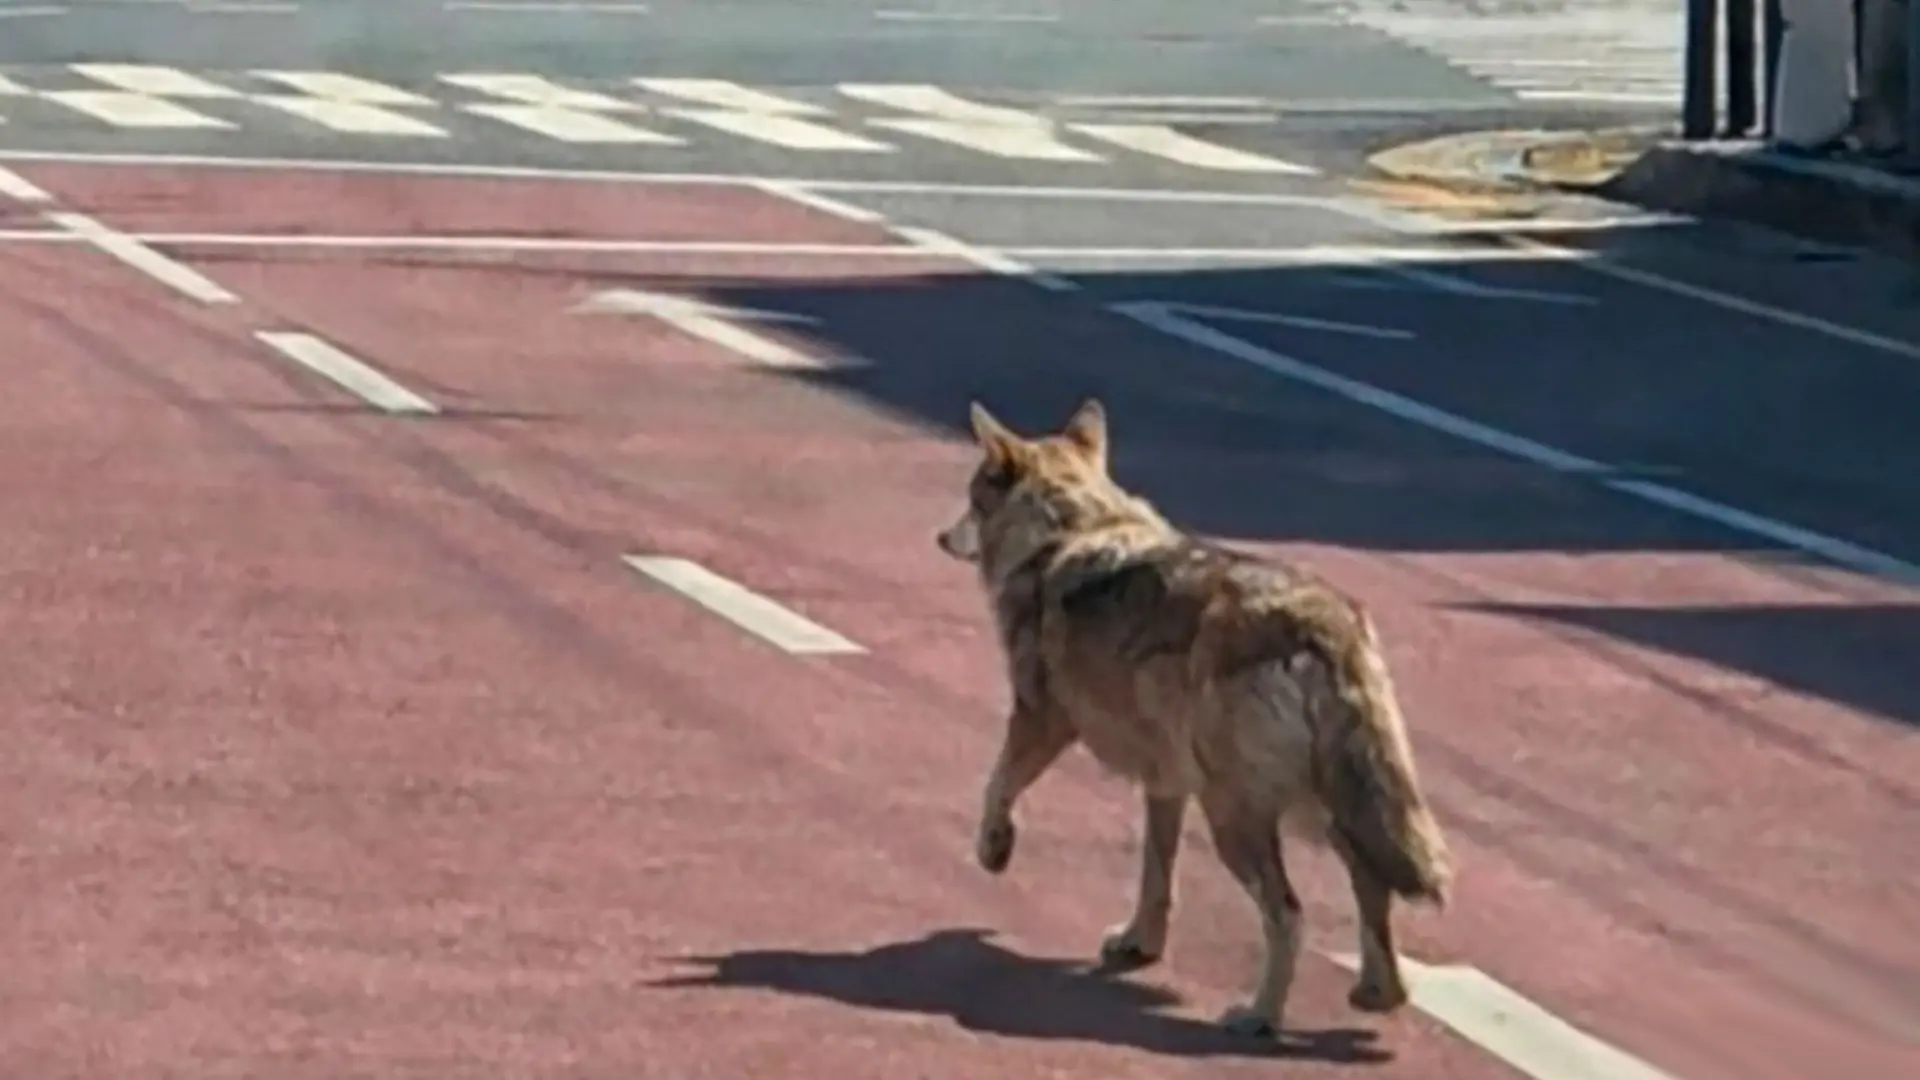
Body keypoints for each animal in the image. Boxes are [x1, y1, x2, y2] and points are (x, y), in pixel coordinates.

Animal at [934, 398, 1453, 1037]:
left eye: (971, 497)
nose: (940, 537)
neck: (1070, 530)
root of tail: (1325, 626)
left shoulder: (1041, 720)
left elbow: (997, 786)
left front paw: (994, 849)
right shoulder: (1165, 784)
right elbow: (1157, 876)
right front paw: (1140, 944)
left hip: (1236, 818)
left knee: (1289, 916)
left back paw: (1259, 1017)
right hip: (1330, 810)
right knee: (1373, 888)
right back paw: (1378, 994)